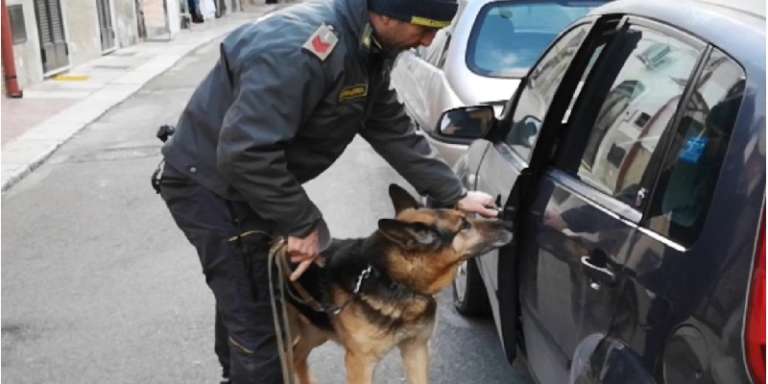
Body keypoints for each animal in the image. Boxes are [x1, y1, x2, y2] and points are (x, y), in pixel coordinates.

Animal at [284, 184, 512, 382]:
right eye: (464, 225)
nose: (509, 223)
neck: (391, 278)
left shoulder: (416, 350)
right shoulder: (360, 363)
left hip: (316, 330)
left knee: (297, 356)